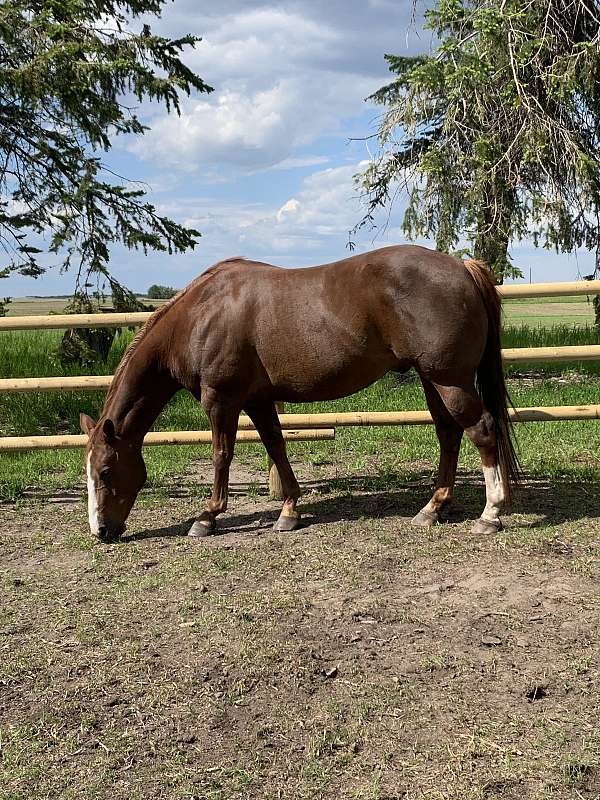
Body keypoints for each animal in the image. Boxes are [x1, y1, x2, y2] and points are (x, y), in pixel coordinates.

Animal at [80, 244, 520, 543]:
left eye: (105, 471)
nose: (101, 531)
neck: (201, 315)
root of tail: (462, 267)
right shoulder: (257, 400)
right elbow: (276, 446)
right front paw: (289, 510)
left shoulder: (221, 400)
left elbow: (222, 455)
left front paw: (207, 517)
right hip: (434, 380)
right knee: (448, 433)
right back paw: (432, 508)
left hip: (450, 380)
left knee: (481, 429)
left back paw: (490, 513)